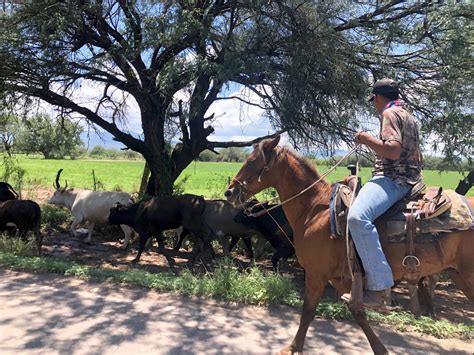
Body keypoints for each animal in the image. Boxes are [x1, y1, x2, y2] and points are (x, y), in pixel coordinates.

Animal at [224, 136, 472, 355]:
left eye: (252, 161)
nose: (229, 192)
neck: (314, 209)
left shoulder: (316, 273)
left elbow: (308, 311)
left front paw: (293, 347)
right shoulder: (341, 279)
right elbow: (357, 312)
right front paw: (380, 349)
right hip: (459, 275)